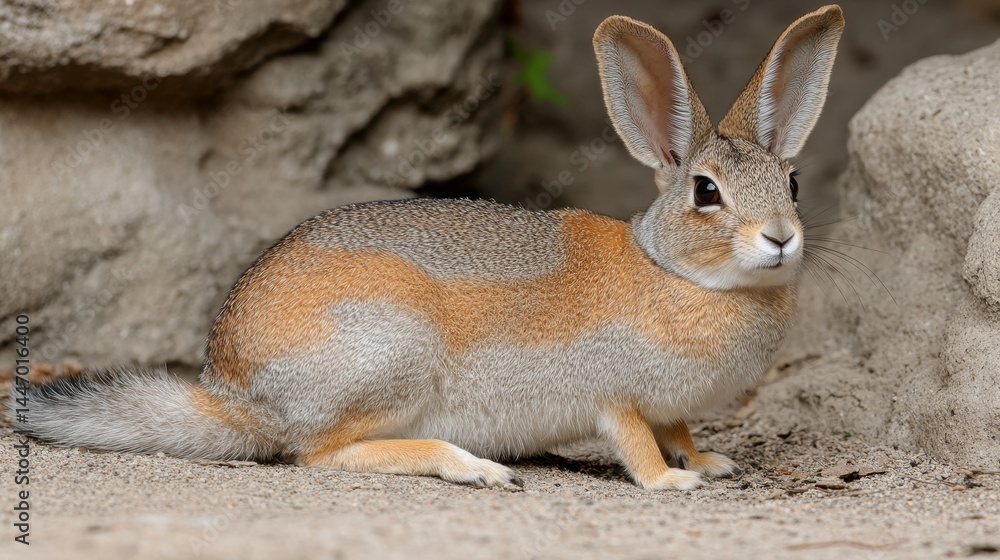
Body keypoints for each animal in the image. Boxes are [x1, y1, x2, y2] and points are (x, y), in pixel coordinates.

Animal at [12, 5, 844, 490]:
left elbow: (679, 430)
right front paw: (675, 485)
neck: (673, 271)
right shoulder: (614, 394)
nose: (781, 238)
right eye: (706, 192)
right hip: (390, 356)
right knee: (319, 455)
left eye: (793, 181)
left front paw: (709, 461)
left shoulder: (669, 405)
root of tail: (237, 395)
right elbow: (637, 440)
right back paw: (470, 467)